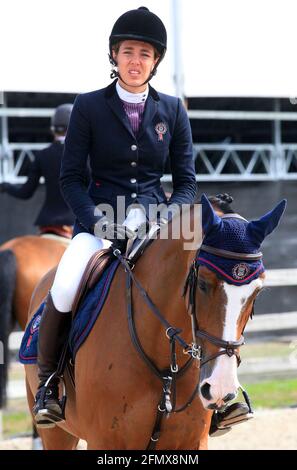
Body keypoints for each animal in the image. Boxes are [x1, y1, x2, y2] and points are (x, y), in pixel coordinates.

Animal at [24, 193, 286, 450]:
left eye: (257, 292)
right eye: (202, 283)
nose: (221, 386)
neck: (163, 361)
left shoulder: (193, 442)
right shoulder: (103, 441)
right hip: (56, 432)